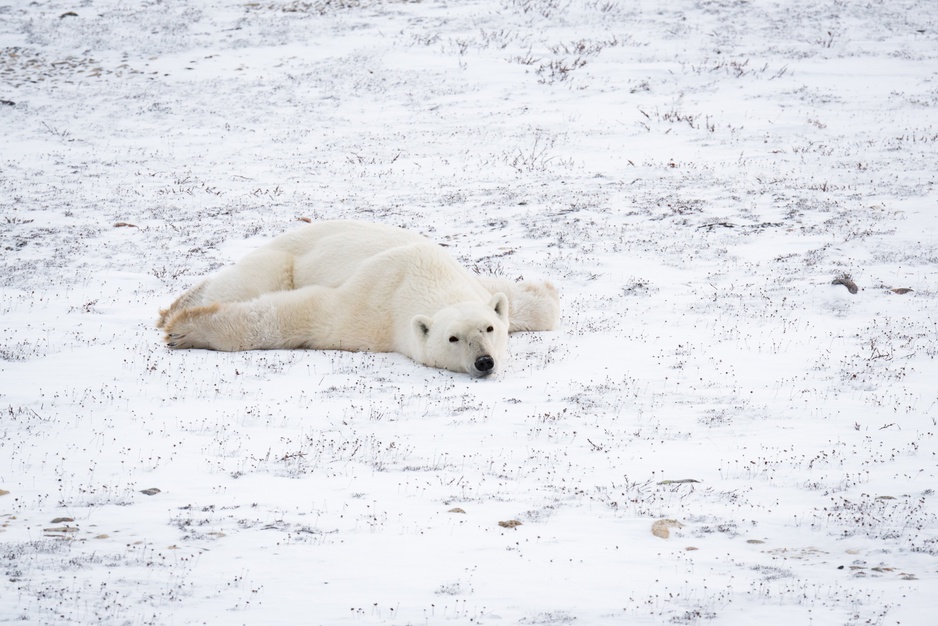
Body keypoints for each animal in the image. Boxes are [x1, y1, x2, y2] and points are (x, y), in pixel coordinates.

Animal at [158, 219, 560, 376]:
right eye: (453, 338)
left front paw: (545, 290)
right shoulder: (375, 306)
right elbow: (304, 314)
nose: (484, 362)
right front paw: (187, 332)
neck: (428, 276)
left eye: (489, 329)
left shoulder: (467, 279)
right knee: (246, 283)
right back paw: (176, 312)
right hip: (282, 258)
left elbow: (535, 306)